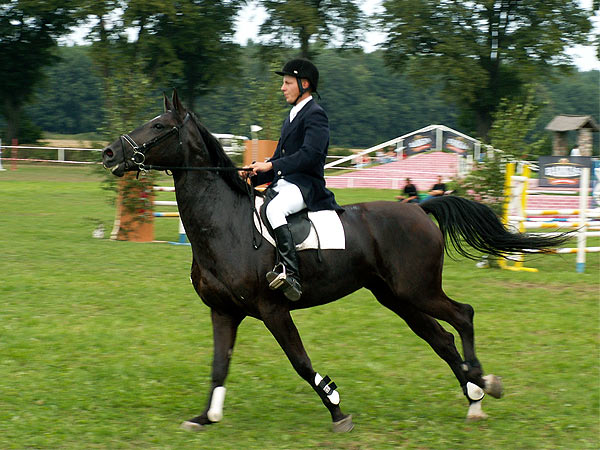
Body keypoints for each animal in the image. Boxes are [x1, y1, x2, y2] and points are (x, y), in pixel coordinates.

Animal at [102, 91, 568, 432]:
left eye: (159, 127)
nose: (109, 153)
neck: (226, 225)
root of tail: (421, 209)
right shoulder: (224, 311)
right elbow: (219, 365)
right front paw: (205, 417)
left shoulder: (272, 309)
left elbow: (301, 362)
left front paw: (337, 409)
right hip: (397, 298)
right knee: (441, 338)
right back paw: (474, 396)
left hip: (417, 290)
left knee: (463, 315)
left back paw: (482, 385)